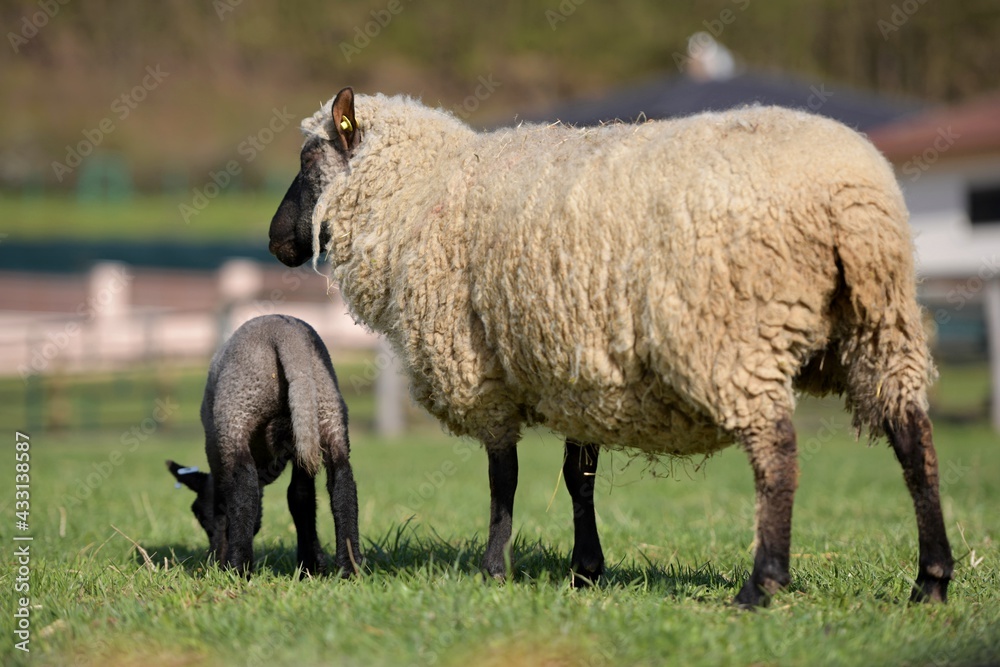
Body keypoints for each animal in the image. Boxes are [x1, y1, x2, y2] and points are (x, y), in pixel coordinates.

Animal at [168, 314, 361, 577]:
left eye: (197, 513)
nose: (212, 559)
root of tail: (282, 332)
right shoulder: (300, 451)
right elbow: (301, 498)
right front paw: (312, 565)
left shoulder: (216, 451)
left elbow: (226, 509)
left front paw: (221, 560)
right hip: (326, 410)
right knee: (342, 482)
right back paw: (350, 568)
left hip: (236, 413)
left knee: (244, 489)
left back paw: (238, 568)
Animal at [268, 87, 953, 606]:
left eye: (308, 158)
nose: (276, 242)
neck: (415, 195)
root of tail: (849, 197)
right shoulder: (578, 362)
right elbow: (580, 476)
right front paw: (585, 570)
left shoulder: (484, 370)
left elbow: (503, 476)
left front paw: (495, 568)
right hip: (878, 325)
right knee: (913, 439)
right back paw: (931, 582)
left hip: (735, 337)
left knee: (778, 456)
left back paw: (761, 586)